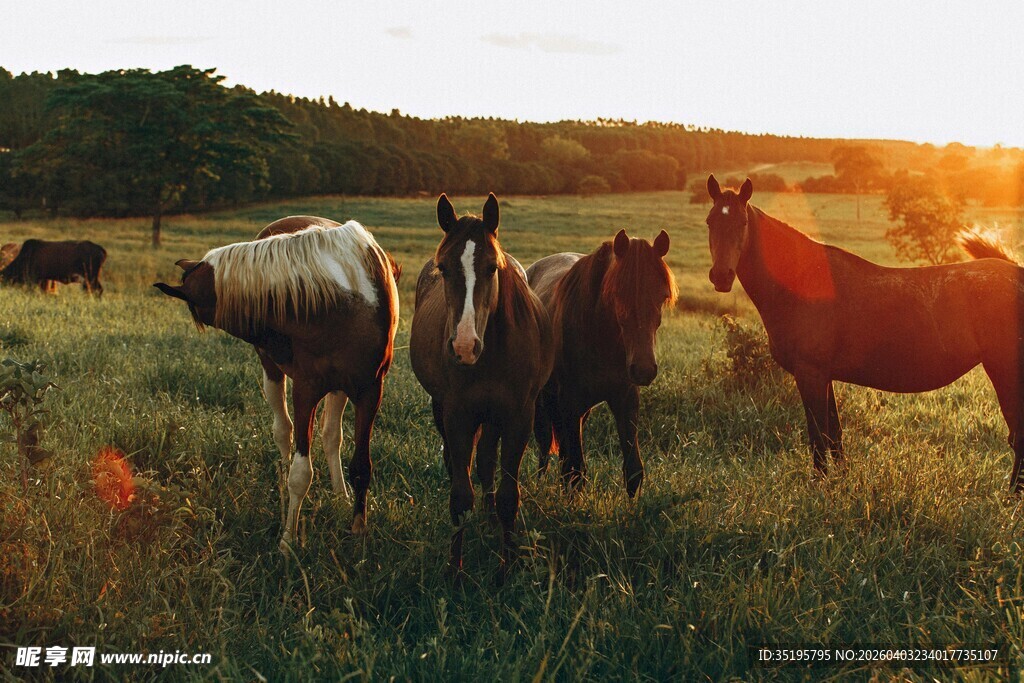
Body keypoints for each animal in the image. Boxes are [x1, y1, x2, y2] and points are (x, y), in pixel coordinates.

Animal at [154, 216, 400, 550]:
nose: (269, 340)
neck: (344, 299)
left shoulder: (370, 390)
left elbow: (362, 465)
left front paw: (358, 530)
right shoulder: (305, 390)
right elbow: (300, 472)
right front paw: (288, 540)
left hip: (339, 387)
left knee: (330, 435)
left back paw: (339, 495)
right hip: (273, 374)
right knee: (284, 433)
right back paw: (285, 494)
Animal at [409, 193, 553, 577]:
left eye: (492, 267)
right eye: (444, 268)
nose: (463, 346)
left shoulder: (519, 417)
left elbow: (508, 495)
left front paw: (507, 566)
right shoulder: (458, 415)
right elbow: (460, 496)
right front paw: (455, 570)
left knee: (487, 460)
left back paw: (489, 521)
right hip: (445, 409)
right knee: (459, 462)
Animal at [527, 230, 676, 496]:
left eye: (662, 296)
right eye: (617, 294)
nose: (644, 370)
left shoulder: (625, 399)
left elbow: (633, 470)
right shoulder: (570, 402)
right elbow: (576, 471)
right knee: (545, 445)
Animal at [705, 174, 1024, 490]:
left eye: (742, 223)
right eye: (710, 222)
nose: (721, 276)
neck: (803, 281)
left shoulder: (810, 373)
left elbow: (818, 436)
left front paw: (819, 485)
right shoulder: (824, 375)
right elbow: (834, 434)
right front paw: (841, 482)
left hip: (1004, 372)